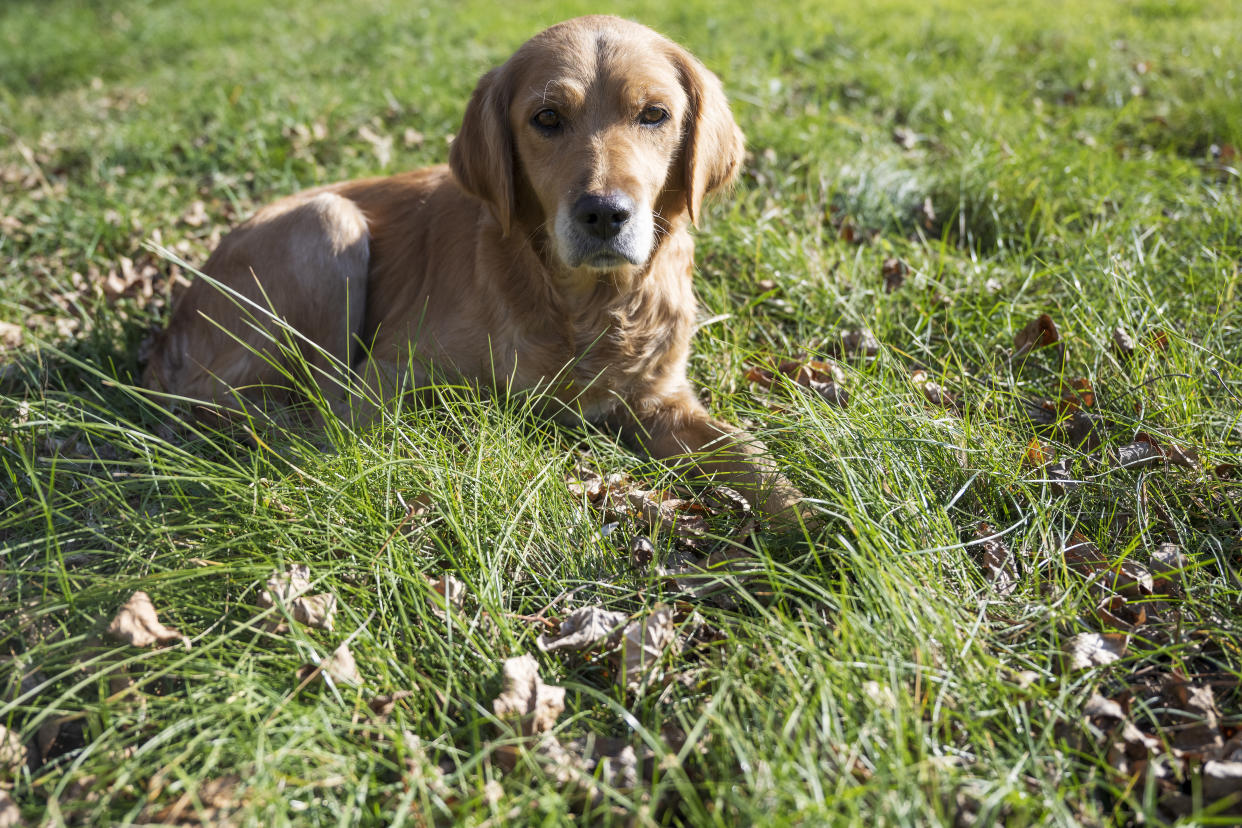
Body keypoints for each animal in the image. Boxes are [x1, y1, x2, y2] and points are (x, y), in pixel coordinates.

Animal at [145, 16, 804, 521]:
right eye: (547, 118)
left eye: (654, 114)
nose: (604, 214)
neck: (581, 304)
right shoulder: (383, 376)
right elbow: (372, 424)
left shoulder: (665, 401)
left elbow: (754, 458)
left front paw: (814, 528)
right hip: (327, 222)